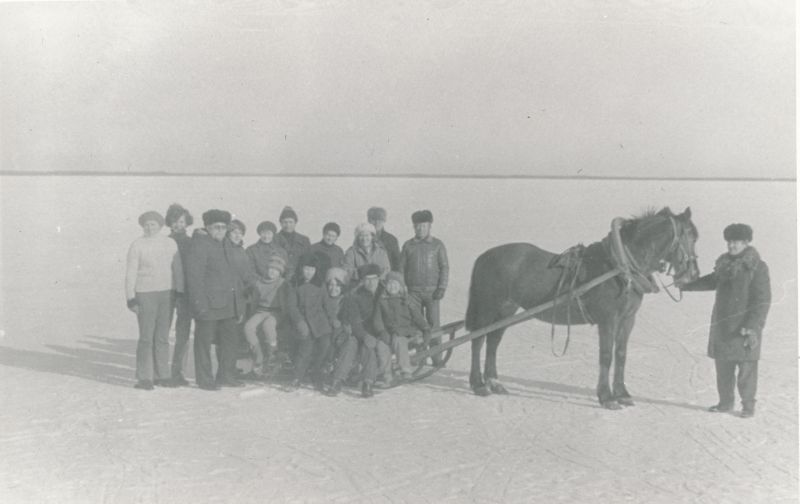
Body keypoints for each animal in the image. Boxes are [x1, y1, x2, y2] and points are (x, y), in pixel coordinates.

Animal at [462, 207, 700, 408]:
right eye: (689, 236)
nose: (692, 275)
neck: (620, 267)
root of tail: (484, 256)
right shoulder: (608, 320)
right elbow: (606, 356)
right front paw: (606, 397)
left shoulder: (627, 319)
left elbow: (621, 354)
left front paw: (622, 394)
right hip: (487, 307)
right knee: (478, 340)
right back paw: (478, 384)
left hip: (506, 309)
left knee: (493, 341)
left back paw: (494, 381)